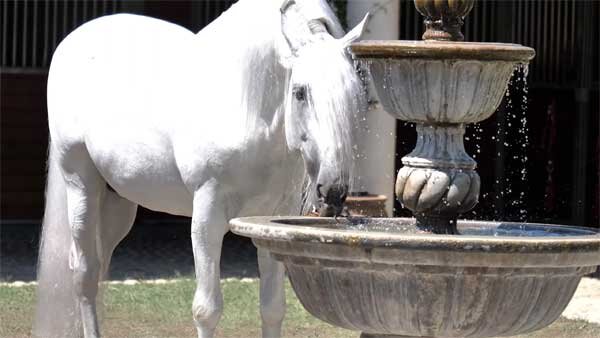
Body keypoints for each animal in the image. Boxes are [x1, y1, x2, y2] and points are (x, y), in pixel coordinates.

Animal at [35, 0, 368, 336]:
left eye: (354, 92)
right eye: (300, 92)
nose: (333, 191)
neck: (245, 108)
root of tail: (74, 39)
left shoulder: (272, 220)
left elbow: (273, 307)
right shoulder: (207, 219)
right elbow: (206, 310)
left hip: (118, 202)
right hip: (81, 186)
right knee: (85, 274)